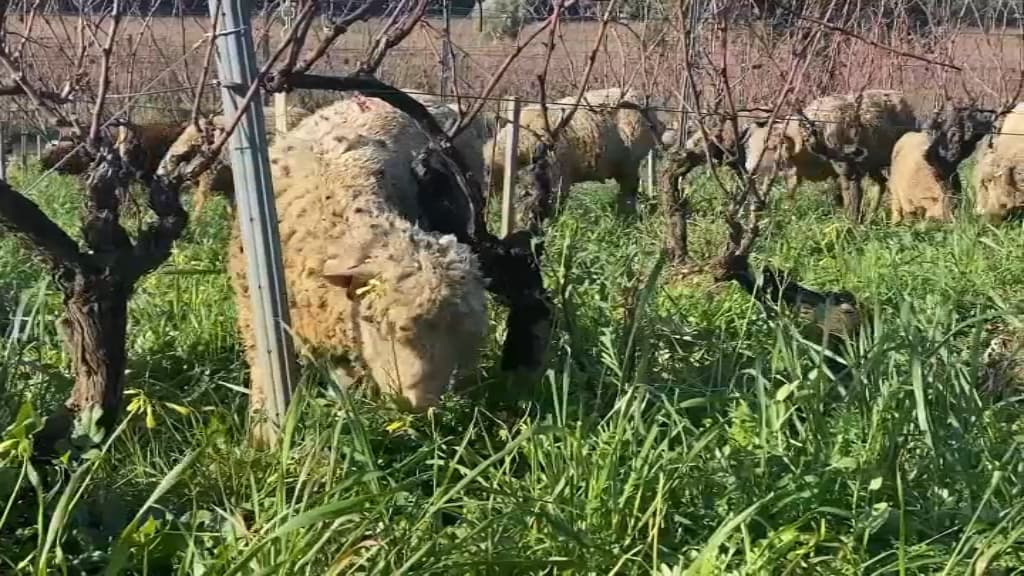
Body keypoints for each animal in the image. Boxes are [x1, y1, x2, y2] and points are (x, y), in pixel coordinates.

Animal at [481, 87, 667, 222]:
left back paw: (626, 215)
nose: (528, 219)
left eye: (527, 190)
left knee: (629, 189)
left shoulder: (559, 174)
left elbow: (557, 201)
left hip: (631, 160)